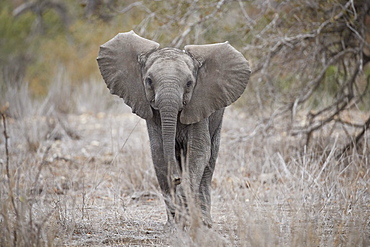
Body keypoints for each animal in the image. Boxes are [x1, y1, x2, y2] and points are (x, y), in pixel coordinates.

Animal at [97, 29, 250, 227]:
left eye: (189, 83)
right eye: (149, 81)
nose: (176, 178)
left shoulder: (199, 105)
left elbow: (199, 151)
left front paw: (186, 214)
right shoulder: (153, 114)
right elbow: (158, 152)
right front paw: (173, 223)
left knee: (209, 163)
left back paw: (205, 222)